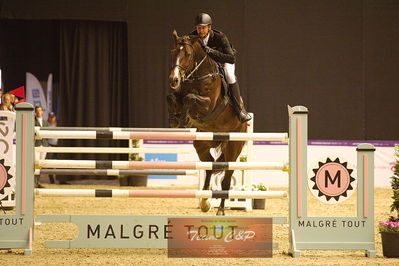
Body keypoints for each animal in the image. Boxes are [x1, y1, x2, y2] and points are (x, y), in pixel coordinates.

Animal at [166, 30, 247, 215]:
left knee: (226, 178)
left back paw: (221, 210)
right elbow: (172, 97)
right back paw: (204, 201)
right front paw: (176, 119)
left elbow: (190, 98)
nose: (174, 80)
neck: (197, 75)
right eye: (172, 52)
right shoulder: (178, 94)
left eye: (188, 54)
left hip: (233, 147)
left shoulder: (209, 105)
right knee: (210, 166)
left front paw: (186, 118)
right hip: (202, 143)